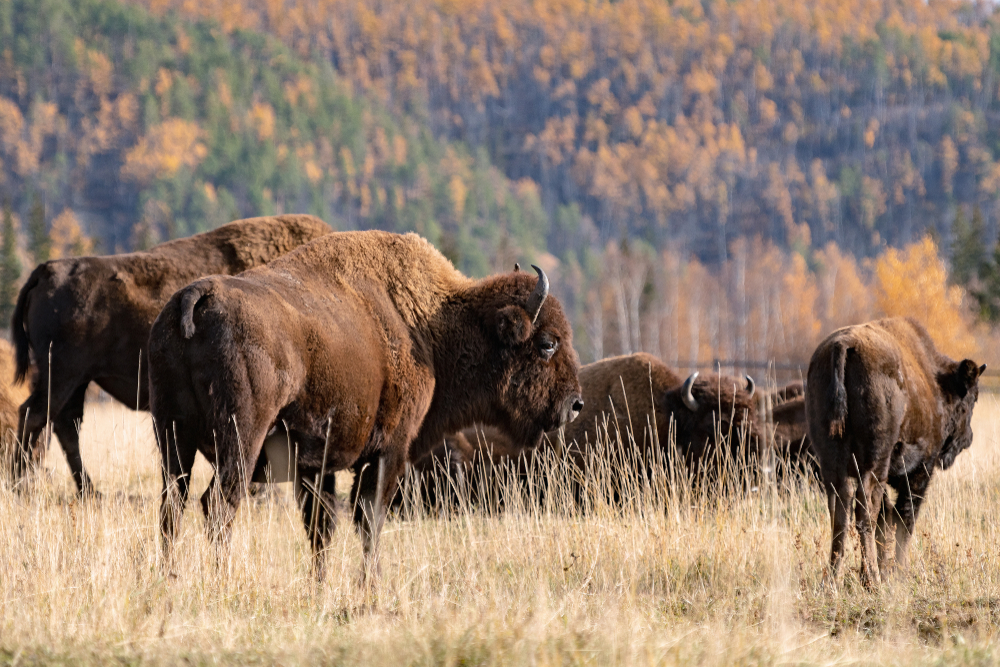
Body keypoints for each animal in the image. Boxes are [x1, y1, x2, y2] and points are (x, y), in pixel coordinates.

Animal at [9, 214, 330, 496]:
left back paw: (88, 492)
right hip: (62, 374)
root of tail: (47, 270)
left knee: (64, 425)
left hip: (76, 380)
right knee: (35, 416)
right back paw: (21, 486)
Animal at [149, 232, 584, 576]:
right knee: (219, 503)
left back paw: (169, 578)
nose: (575, 403)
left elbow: (321, 528)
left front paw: (320, 585)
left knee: (173, 505)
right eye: (547, 343)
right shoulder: (390, 450)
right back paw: (219, 580)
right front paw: (369, 585)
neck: (430, 324)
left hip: (171, 434)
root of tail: (197, 296)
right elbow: (369, 521)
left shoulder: (315, 465)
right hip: (241, 437)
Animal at [804, 318, 984, 588]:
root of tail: (842, 345)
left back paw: (833, 580)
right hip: (875, 459)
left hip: (832, 460)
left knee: (840, 511)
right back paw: (872, 580)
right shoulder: (920, 471)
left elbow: (885, 519)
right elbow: (904, 519)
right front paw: (899, 572)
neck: (935, 383)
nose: (969, 437)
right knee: (865, 509)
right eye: (972, 398)